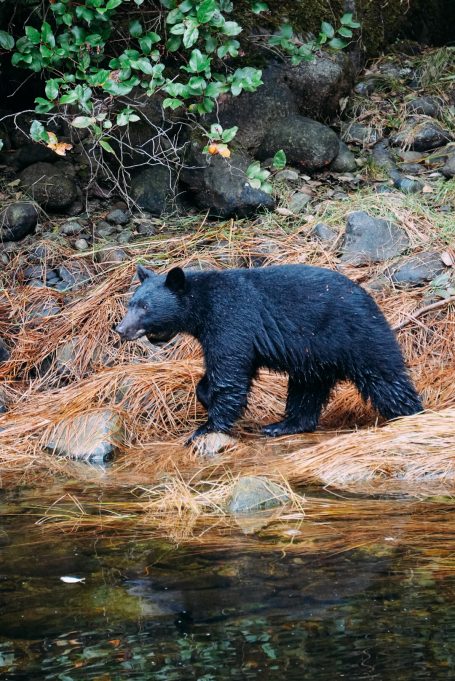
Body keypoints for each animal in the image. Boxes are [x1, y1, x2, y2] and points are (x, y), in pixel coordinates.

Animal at [116, 264, 422, 443]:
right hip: (314, 357)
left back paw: (410, 415)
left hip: (356, 336)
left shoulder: (231, 319)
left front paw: (207, 427)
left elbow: (230, 371)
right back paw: (283, 425)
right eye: (131, 303)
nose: (120, 329)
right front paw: (205, 397)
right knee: (307, 390)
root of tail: (371, 299)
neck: (201, 306)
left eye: (144, 307)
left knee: (384, 377)